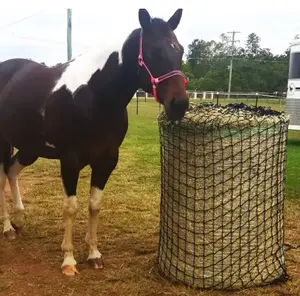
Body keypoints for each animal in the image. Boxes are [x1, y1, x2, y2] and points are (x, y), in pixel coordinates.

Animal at [0, 8, 189, 276]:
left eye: (179, 50)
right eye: (153, 51)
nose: (179, 104)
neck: (93, 96)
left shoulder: (106, 160)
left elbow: (94, 205)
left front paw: (93, 254)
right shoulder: (70, 161)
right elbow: (71, 207)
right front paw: (69, 260)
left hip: (30, 147)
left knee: (12, 170)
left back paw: (18, 219)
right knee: (2, 177)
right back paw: (7, 227)